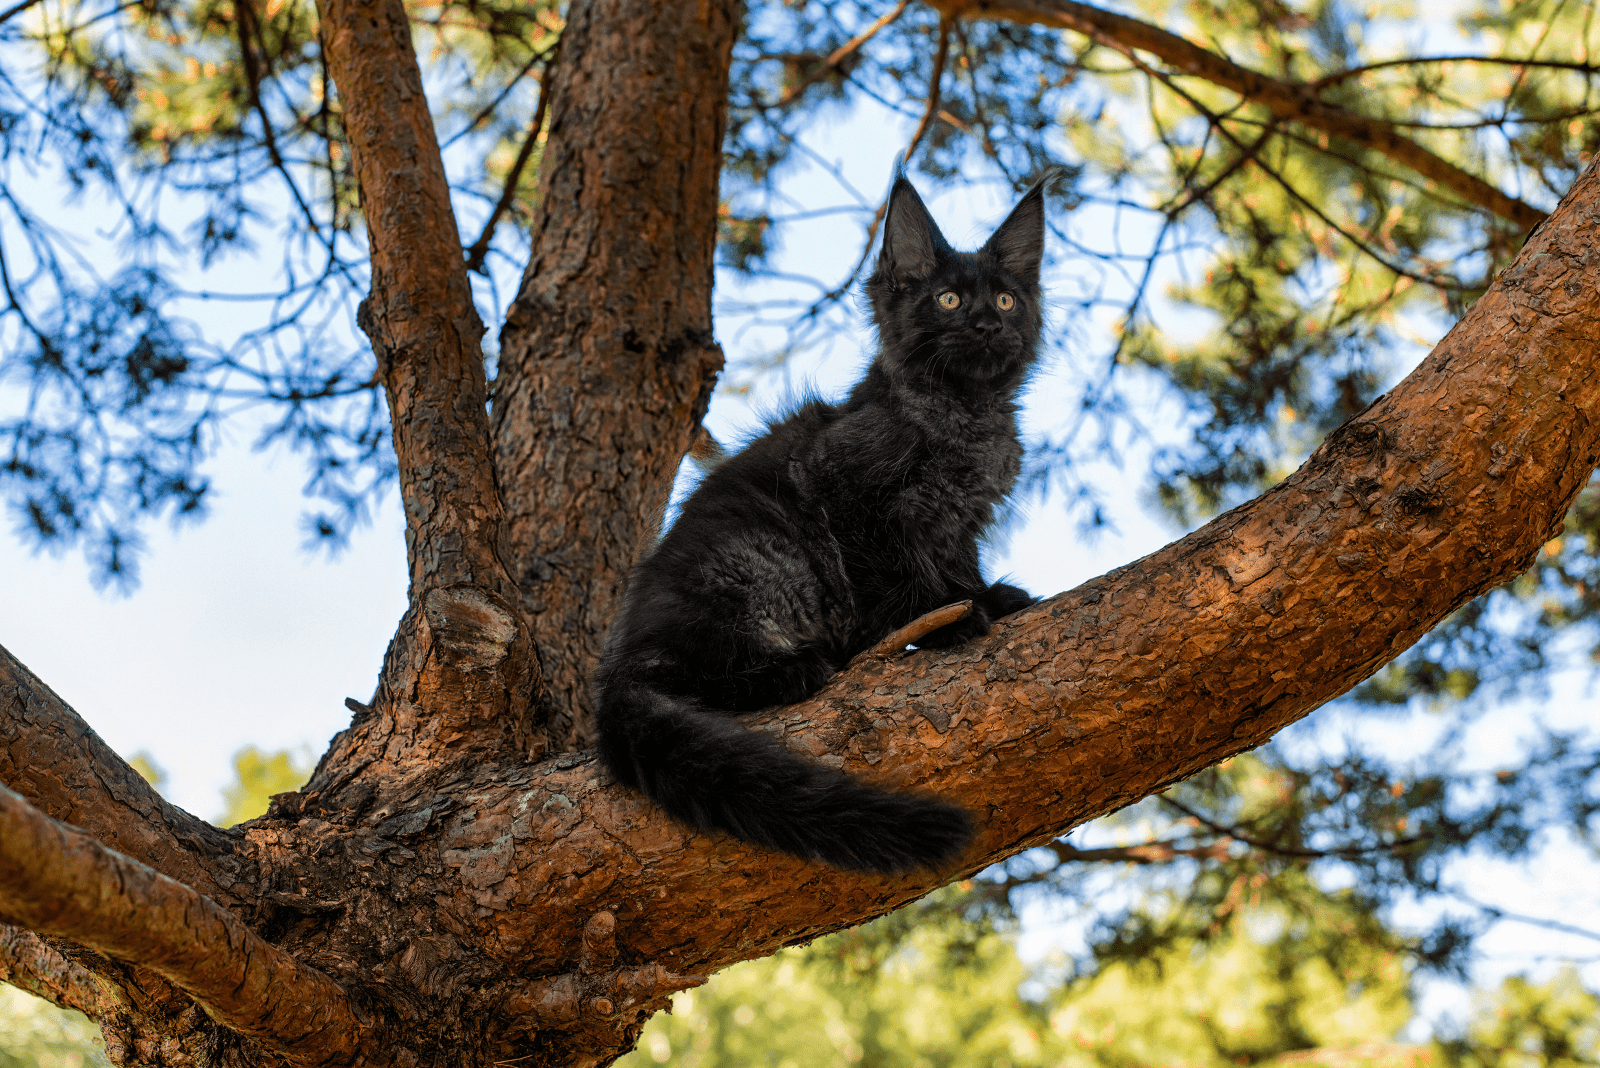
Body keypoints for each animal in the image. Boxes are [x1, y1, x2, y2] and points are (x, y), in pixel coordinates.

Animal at [592, 175, 1049, 869]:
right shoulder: (850, 499)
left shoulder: (959, 520)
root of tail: (616, 668)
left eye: (1005, 298)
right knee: (685, 672)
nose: (988, 322)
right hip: (762, 559)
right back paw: (791, 669)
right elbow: (897, 577)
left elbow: (959, 567)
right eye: (947, 299)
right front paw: (942, 621)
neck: (963, 417)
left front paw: (986, 598)